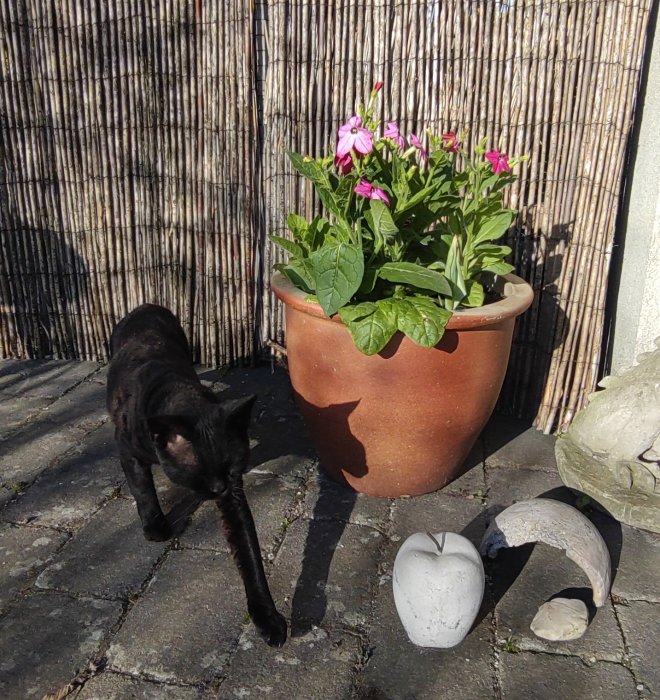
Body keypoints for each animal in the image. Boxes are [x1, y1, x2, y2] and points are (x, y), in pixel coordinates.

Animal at [105, 304, 286, 648]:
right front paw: (155, 526)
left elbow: (249, 555)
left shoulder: (234, 498)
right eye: (197, 472)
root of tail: (146, 306)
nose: (219, 487)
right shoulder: (127, 450)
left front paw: (267, 618)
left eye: (232, 467)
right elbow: (142, 489)